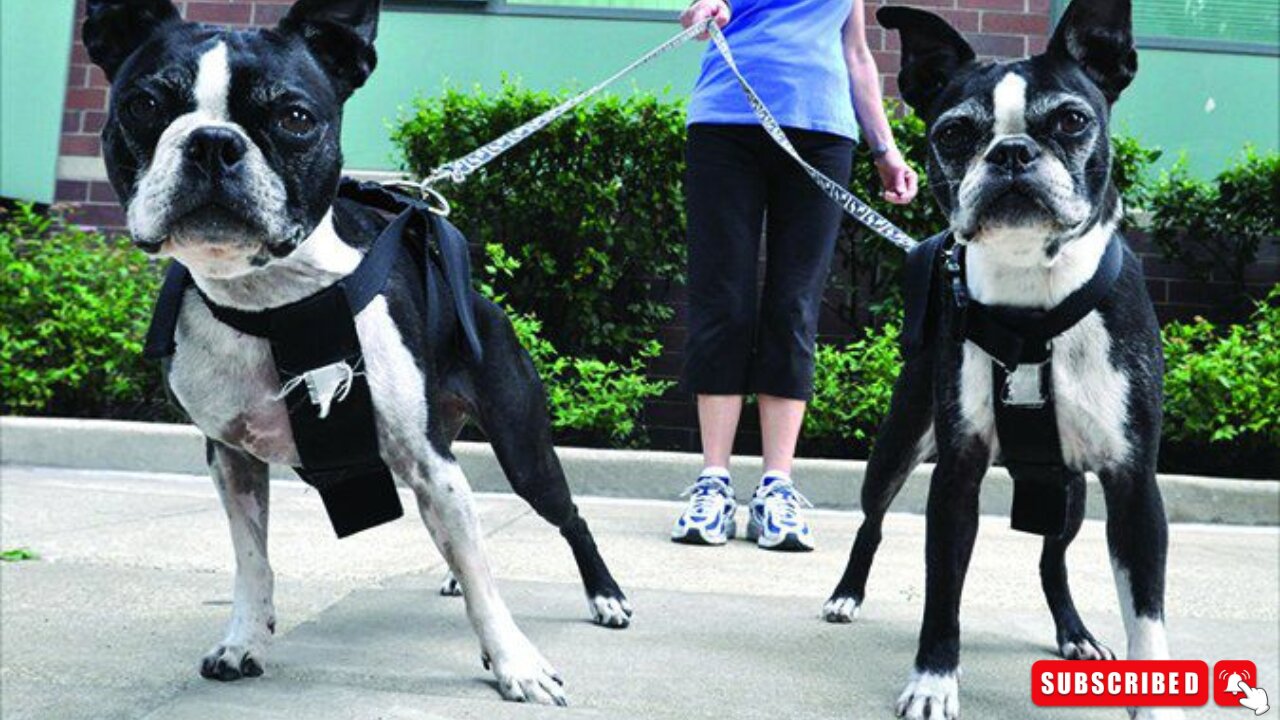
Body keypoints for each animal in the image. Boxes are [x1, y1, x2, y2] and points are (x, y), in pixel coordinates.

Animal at [82, 0, 632, 702]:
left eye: (294, 117)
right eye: (144, 105)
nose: (212, 142)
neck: (276, 298)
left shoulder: (428, 462)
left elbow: (486, 584)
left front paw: (517, 664)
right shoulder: (233, 459)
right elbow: (253, 560)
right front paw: (243, 641)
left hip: (522, 448)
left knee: (568, 517)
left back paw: (605, 597)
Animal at [819, 1, 1177, 717]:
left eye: (1071, 120)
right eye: (955, 133)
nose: (1011, 152)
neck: (1034, 299)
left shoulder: (1134, 486)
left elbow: (1146, 614)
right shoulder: (956, 474)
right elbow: (942, 593)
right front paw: (933, 680)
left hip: (1068, 488)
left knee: (1051, 558)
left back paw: (1074, 632)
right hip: (899, 444)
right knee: (872, 520)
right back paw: (846, 593)